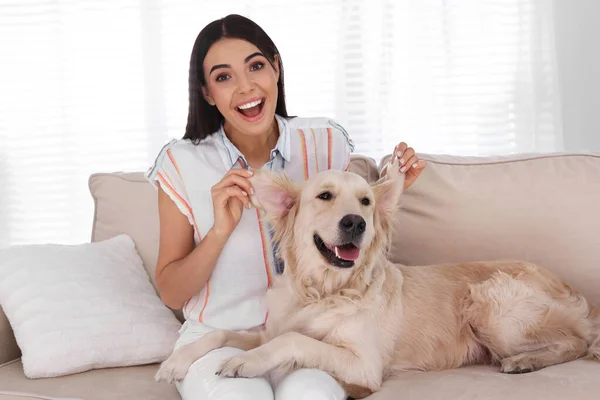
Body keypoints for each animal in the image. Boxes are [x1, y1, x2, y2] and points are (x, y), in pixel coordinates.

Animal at [157, 159, 600, 396]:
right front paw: (176, 362)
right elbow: (220, 334)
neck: (325, 291)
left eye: (366, 201)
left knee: (578, 342)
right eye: (325, 196)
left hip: (489, 301)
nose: (355, 223)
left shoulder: (364, 364)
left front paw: (244, 362)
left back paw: (525, 361)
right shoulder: (269, 327)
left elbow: (293, 340)